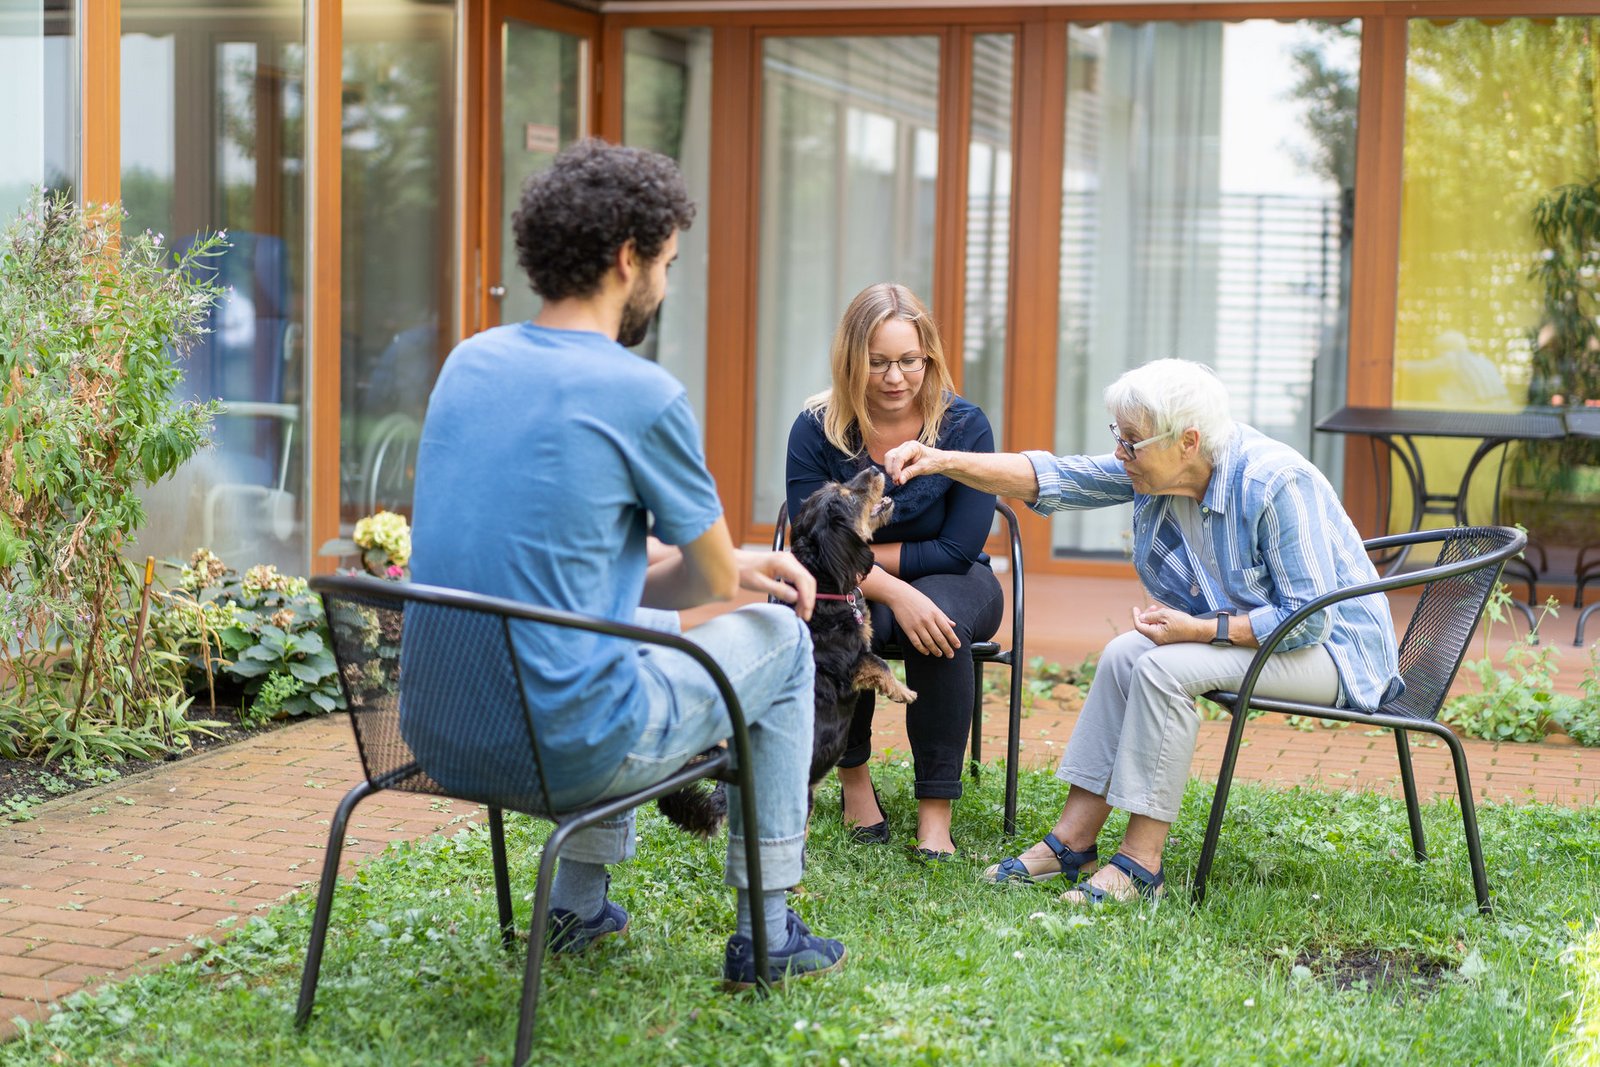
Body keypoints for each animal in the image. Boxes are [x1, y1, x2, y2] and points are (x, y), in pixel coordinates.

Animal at [659, 470, 915, 838]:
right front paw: (904, 692)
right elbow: (878, 663)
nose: (874, 470)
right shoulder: (849, 664)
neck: (823, 585)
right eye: (849, 496)